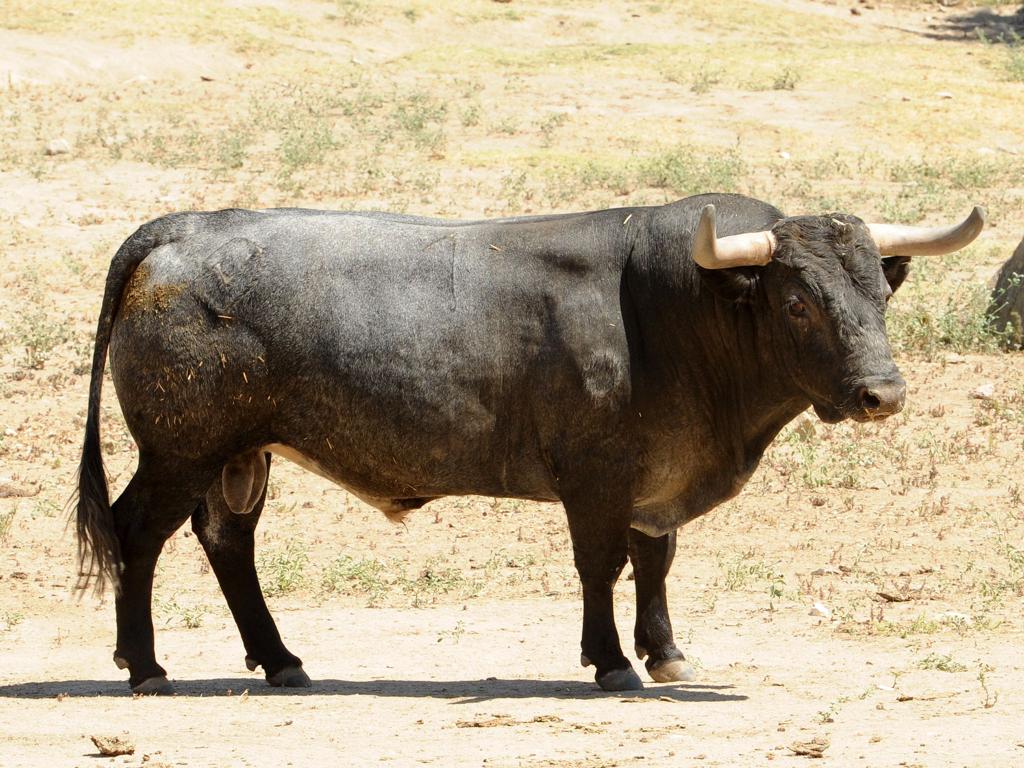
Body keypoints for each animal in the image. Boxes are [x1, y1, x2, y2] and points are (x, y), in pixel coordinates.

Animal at [74, 193, 985, 694]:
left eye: (878, 294)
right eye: (798, 304)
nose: (882, 394)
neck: (676, 309)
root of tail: (183, 230)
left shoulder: (655, 482)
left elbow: (655, 561)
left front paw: (666, 653)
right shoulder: (596, 479)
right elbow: (602, 566)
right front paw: (611, 660)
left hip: (239, 454)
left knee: (228, 541)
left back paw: (281, 660)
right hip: (181, 451)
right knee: (136, 535)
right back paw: (145, 667)